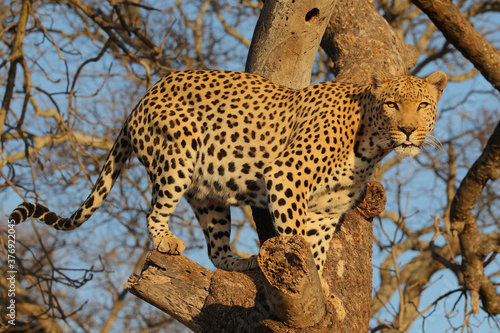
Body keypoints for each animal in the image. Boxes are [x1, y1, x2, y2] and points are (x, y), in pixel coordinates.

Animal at [6, 67, 446, 294]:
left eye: (424, 105)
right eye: (392, 105)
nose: (408, 131)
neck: (371, 145)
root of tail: (140, 100)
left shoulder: (327, 210)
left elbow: (318, 249)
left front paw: (320, 286)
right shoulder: (287, 177)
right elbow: (295, 237)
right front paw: (307, 278)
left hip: (209, 195)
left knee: (216, 250)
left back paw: (244, 261)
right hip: (177, 155)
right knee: (155, 211)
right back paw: (166, 241)